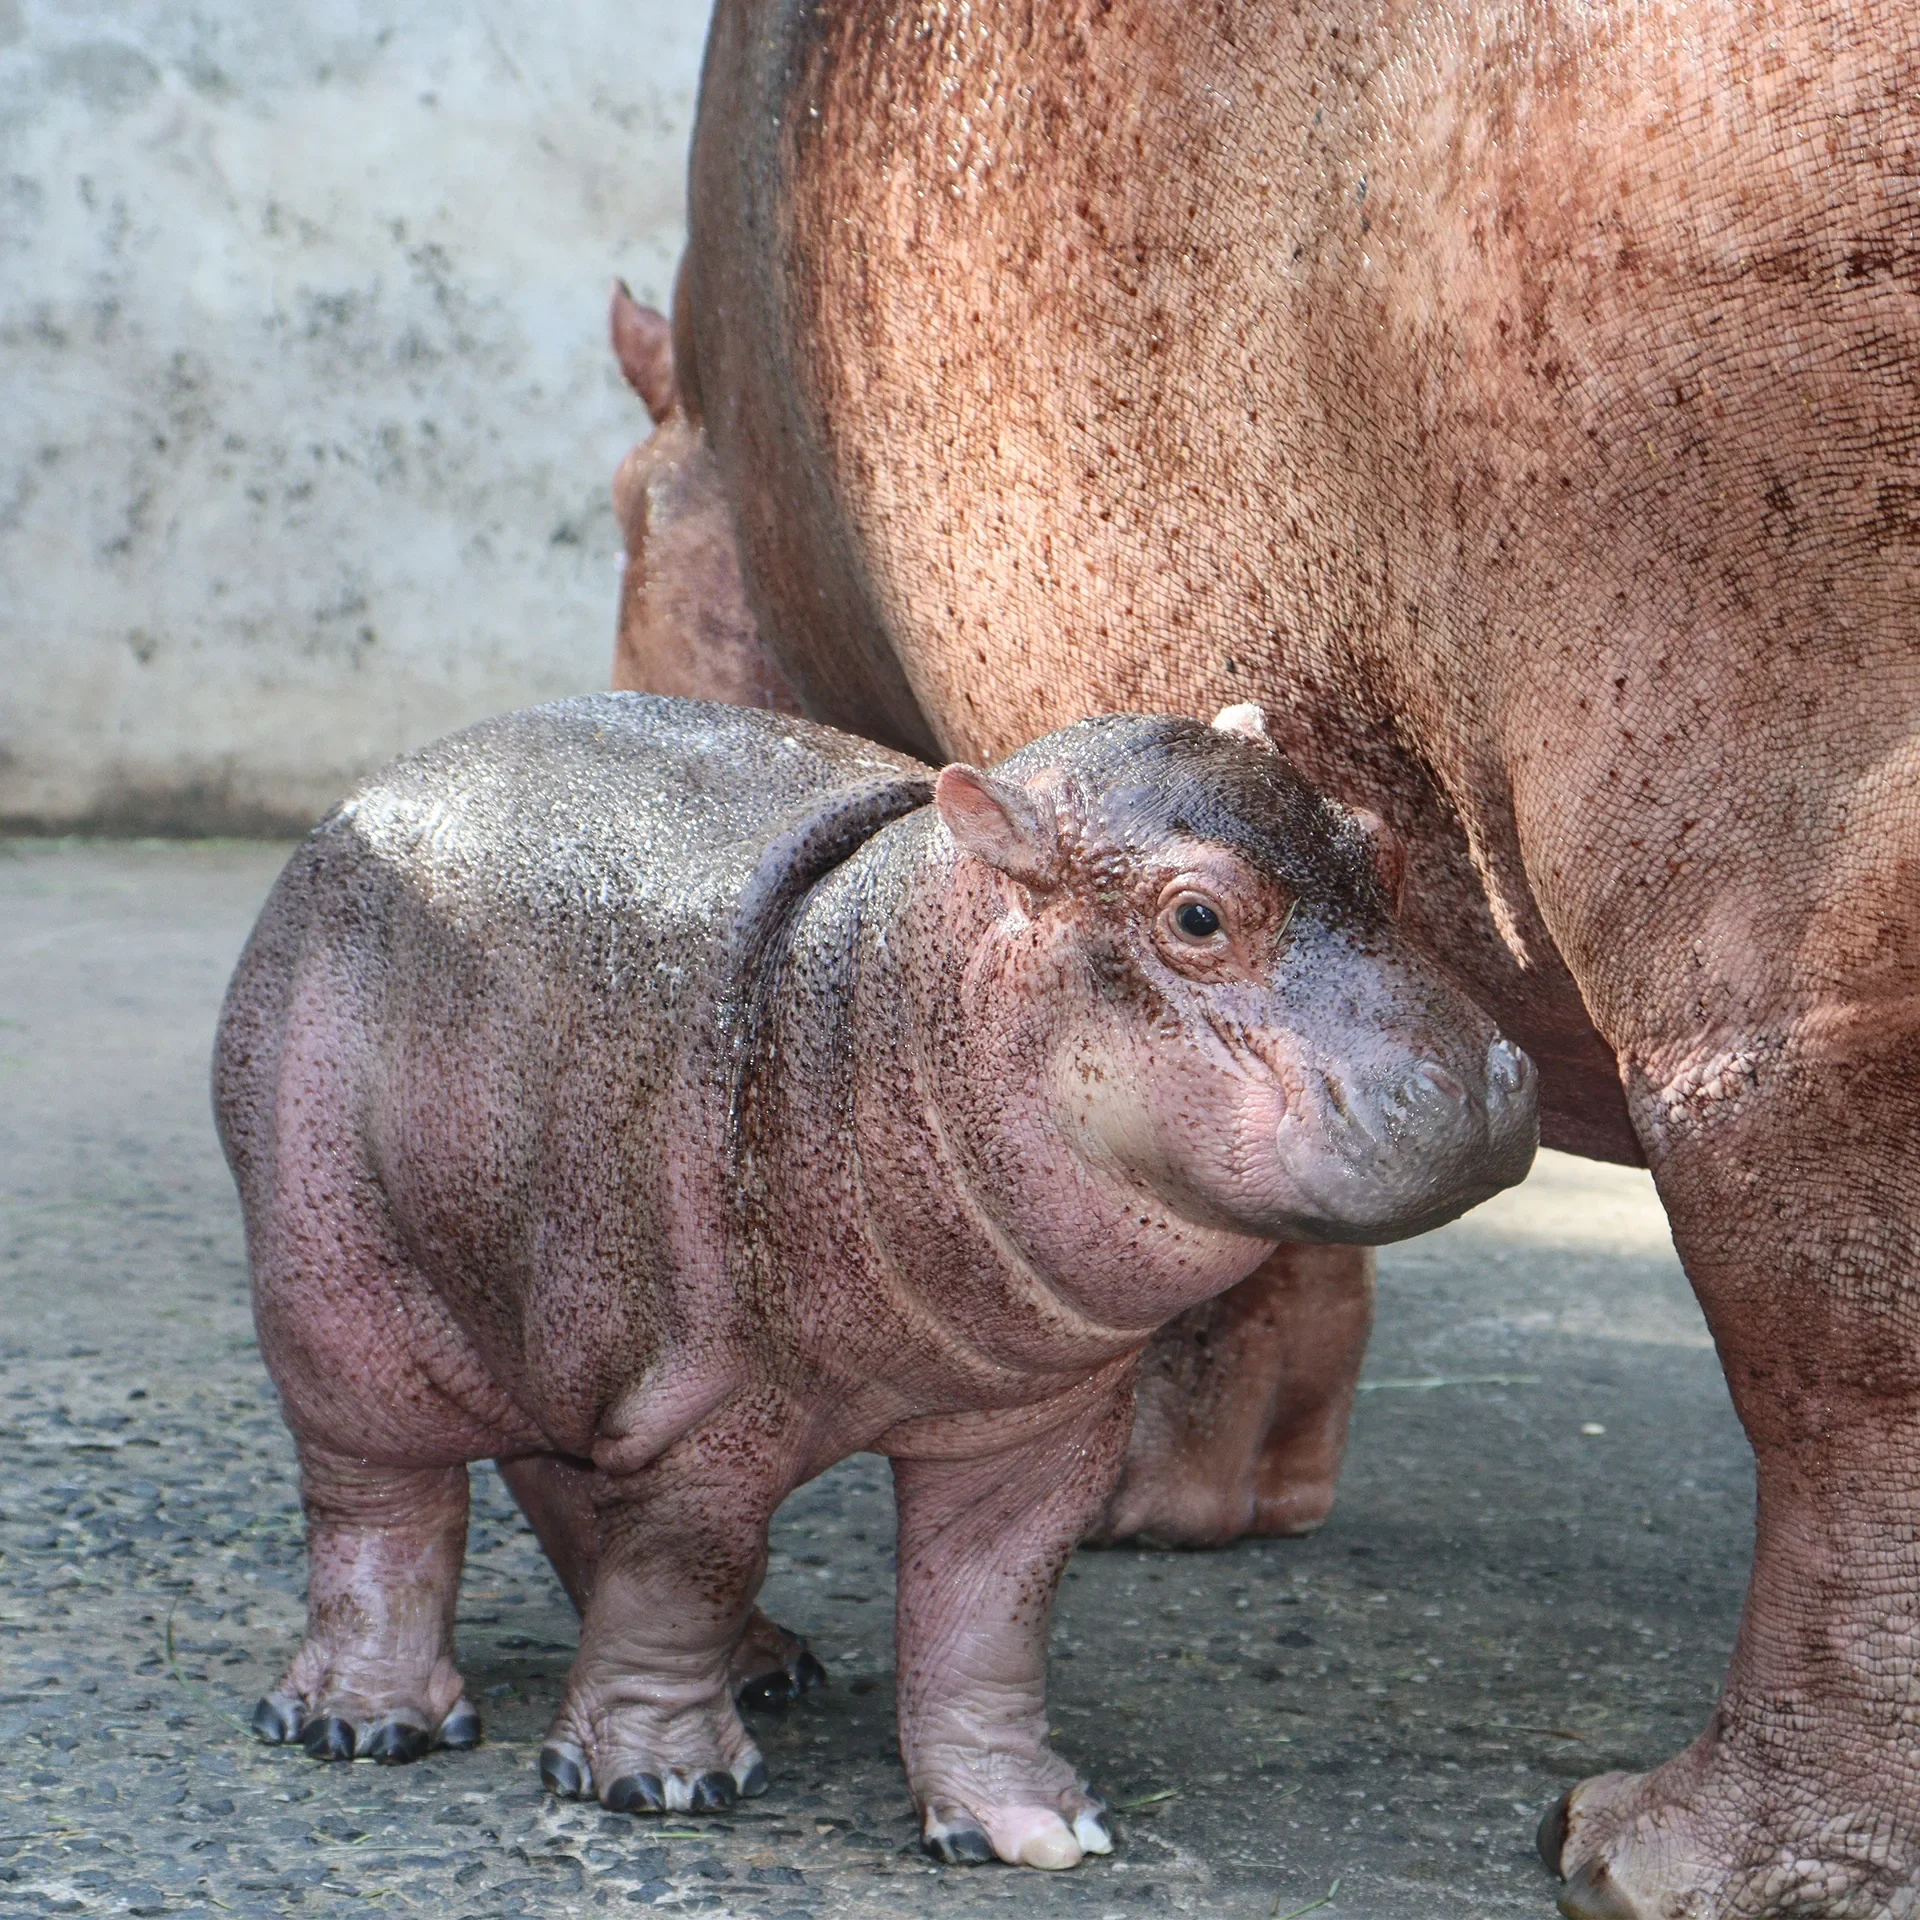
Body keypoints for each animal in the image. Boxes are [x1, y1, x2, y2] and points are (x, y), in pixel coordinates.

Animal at [214, 698, 1528, 1866]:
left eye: (1384, 847)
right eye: (1197, 914)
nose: (1478, 1085)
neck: (890, 977)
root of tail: (363, 798)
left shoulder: (1036, 1424)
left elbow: (989, 1608)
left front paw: (1030, 1829)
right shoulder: (715, 1402)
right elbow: (684, 1568)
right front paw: (662, 1784)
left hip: (561, 1308)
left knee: (558, 1473)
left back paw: (770, 1670)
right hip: (339, 1284)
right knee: (383, 1499)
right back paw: (364, 1724)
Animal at [610, 7, 1920, 1912]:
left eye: (611, 516)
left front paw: (1129, 1502)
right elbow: (1271, 1203)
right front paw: (1221, 1505)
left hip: (1774, 901)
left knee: (1842, 1345)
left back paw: (1644, 1855)